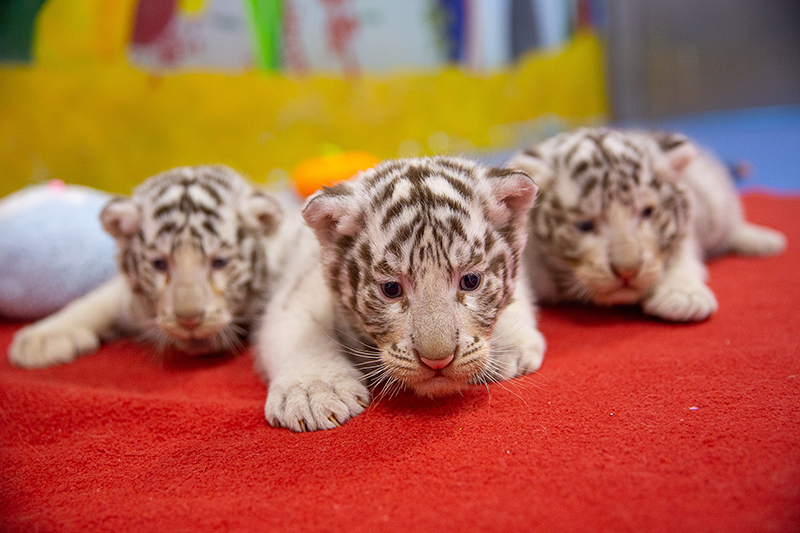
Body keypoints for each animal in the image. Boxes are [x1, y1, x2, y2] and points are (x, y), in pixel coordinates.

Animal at [256, 156, 545, 432]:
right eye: (391, 289)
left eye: (471, 281)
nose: (437, 361)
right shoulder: (299, 291)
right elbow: (300, 334)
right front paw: (312, 390)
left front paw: (510, 349)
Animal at [509, 127, 786, 322]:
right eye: (585, 225)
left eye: (647, 212)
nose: (627, 271)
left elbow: (680, 252)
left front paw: (683, 296)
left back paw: (765, 241)